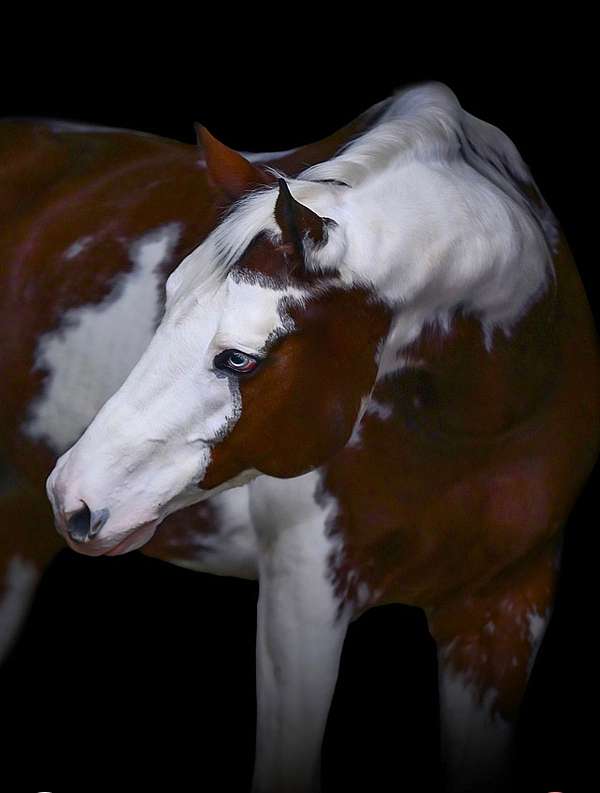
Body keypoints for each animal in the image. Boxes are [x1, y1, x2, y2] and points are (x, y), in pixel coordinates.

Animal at [2, 81, 599, 792]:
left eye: (237, 358)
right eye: (166, 298)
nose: (75, 497)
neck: (482, 421)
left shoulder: (505, 612)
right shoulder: (304, 599)